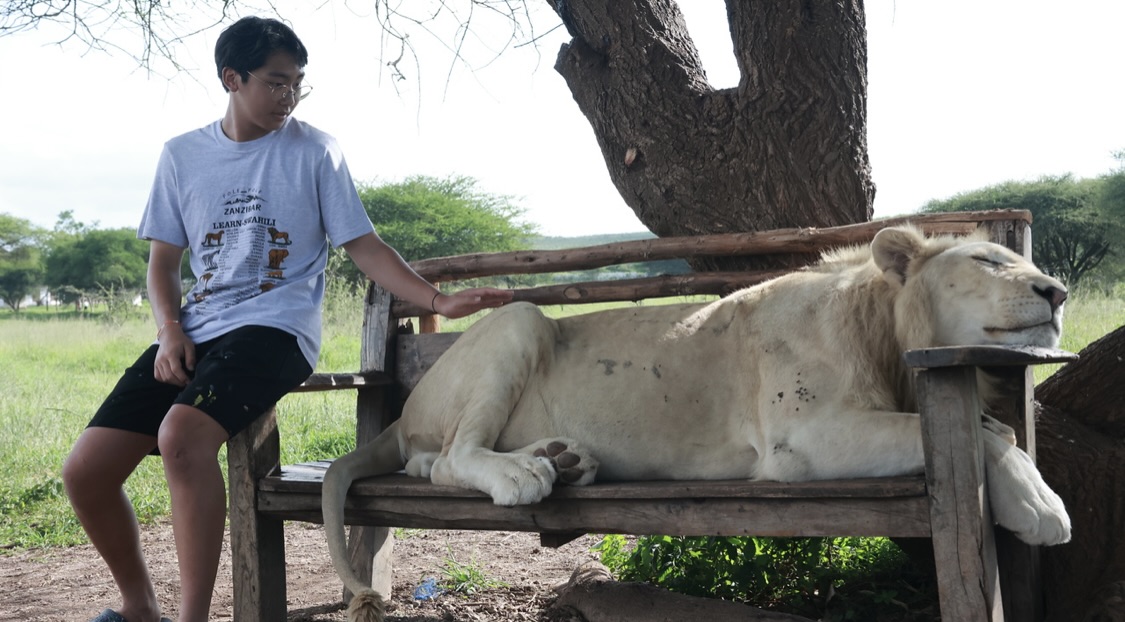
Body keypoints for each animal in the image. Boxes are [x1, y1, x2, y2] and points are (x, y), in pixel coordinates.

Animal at [322, 226, 1072, 622]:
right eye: (987, 261)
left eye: (1024, 260)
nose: (1057, 291)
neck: (887, 336)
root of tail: (401, 414)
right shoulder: (802, 441)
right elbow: (988, 434)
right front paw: (1041, 508)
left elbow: (997, 429)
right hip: (520, 319)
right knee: (451, 457)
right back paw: (522, 475)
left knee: (432, 461)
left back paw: (564, 459)